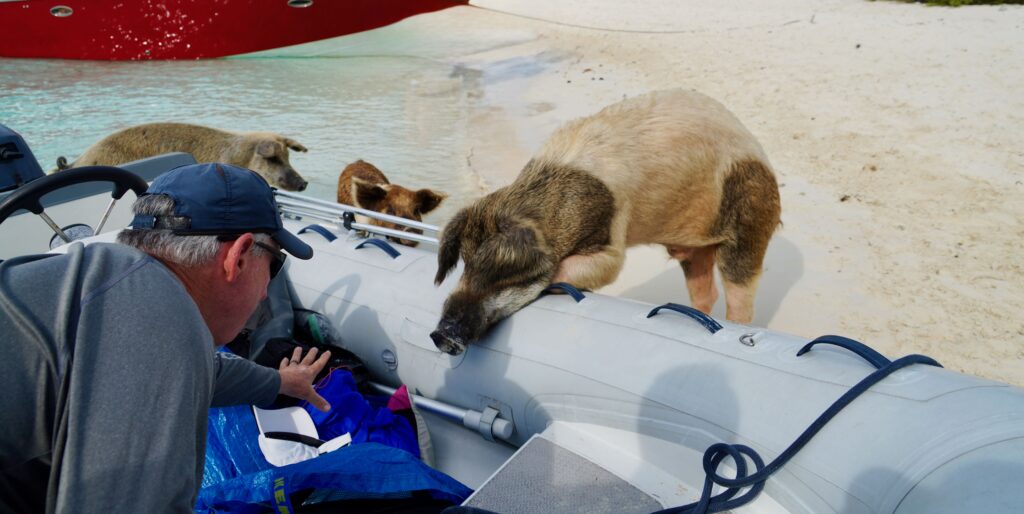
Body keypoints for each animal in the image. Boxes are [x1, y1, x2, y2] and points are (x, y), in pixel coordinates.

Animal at [431, 89, 781, 355]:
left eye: (504, 273)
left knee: (742, 291)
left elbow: (599, 268)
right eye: (465, 264)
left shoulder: (610, 238)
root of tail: (762, 154)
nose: (440, 335)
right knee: (703, 290)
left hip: (751, 216)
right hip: (695, 248)